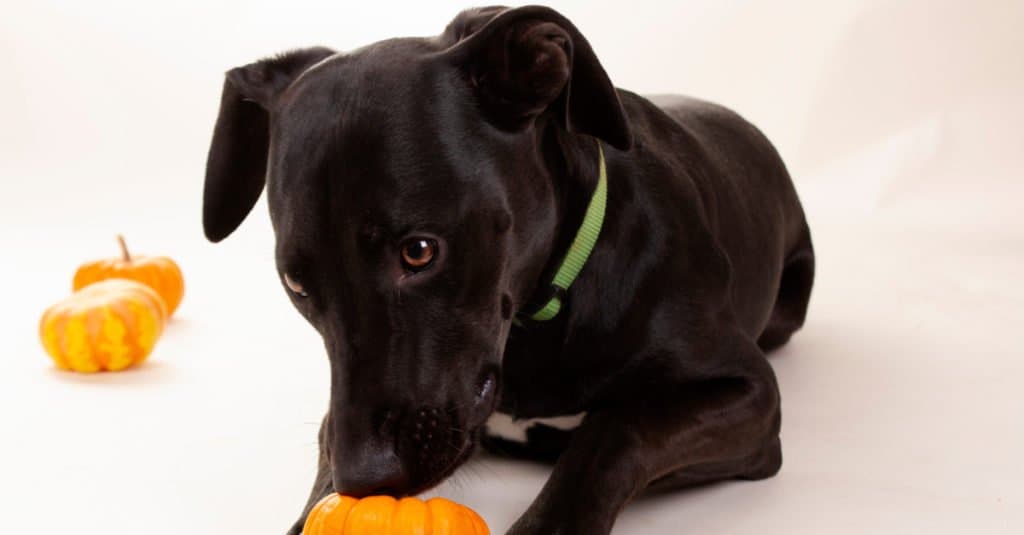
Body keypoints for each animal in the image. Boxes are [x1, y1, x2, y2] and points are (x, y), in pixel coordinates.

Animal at [203, 5, 815, 532]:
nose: (365, 478)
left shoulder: (750, 394)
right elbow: (328, 441)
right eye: (297, 284)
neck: (541, 314)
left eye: (419, 251)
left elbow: (617, 429)